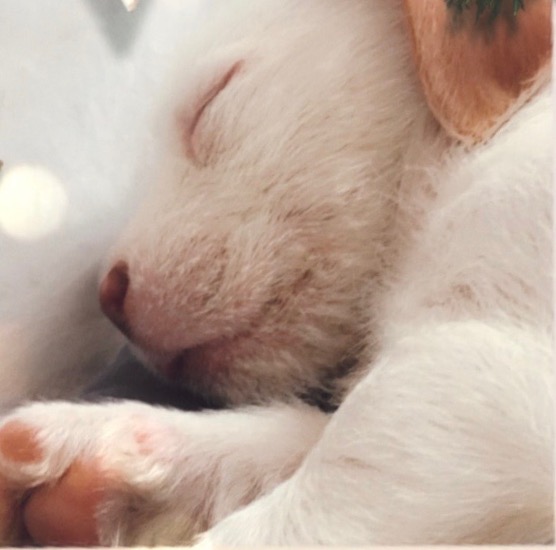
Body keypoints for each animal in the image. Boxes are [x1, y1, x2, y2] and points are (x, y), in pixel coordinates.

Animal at [0, 0, 552, 544]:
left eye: (211, 99)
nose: (109, 298)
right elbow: (303, 435)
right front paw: (93, 444)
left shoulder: (482, 374)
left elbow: (331, 477)